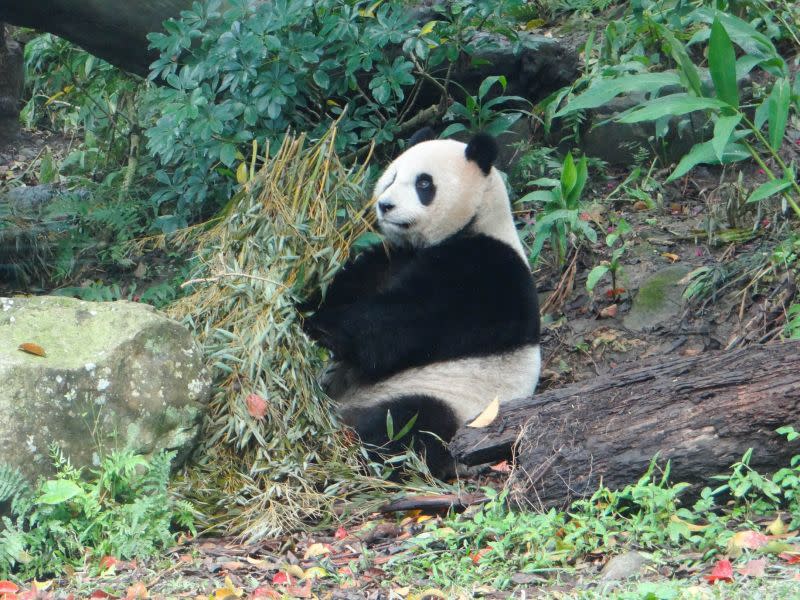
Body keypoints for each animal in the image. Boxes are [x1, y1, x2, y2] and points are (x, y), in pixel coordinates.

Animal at [304, 127, 540, 478]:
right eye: (391, 177)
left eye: (424, 184)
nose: (385, 205)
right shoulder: (393, 256)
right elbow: (351, 283)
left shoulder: (485, 273)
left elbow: (396, 326)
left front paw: (320, 329)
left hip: (457, 403)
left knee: (409, 423)